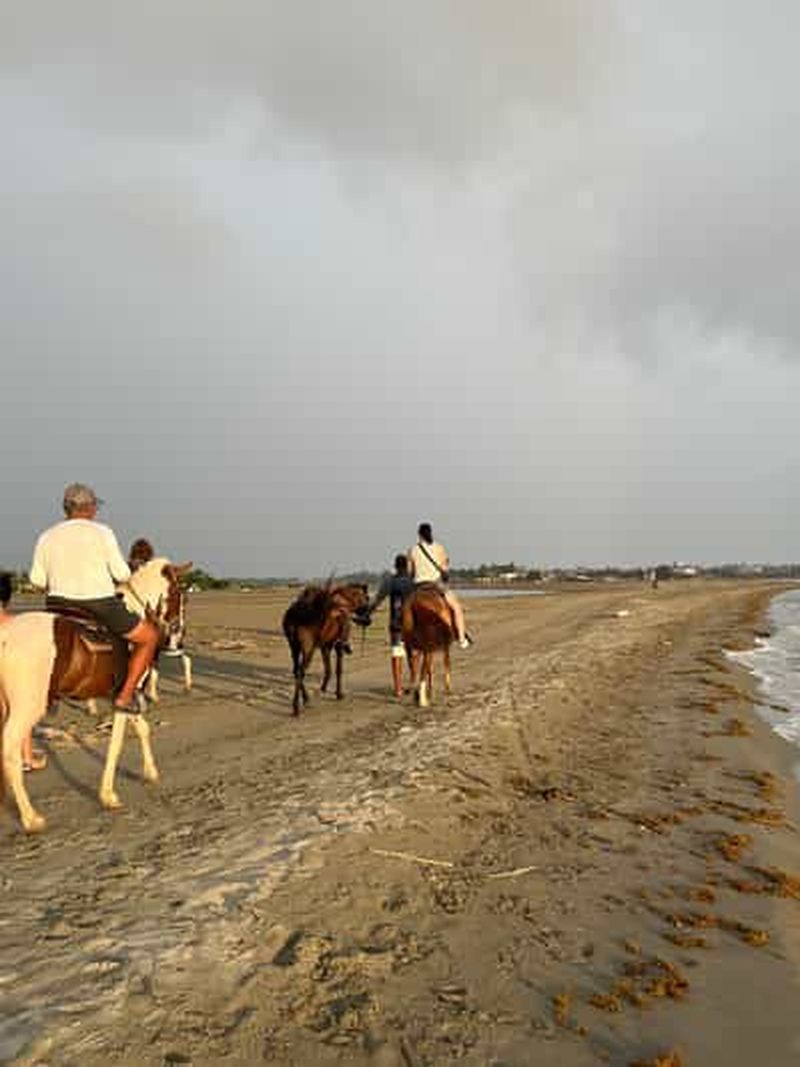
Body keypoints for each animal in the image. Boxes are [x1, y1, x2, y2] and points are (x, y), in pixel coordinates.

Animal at [0, 558, 191, 833]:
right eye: (178, 594)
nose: (178, 634)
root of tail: (5, 636)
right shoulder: (123, 697)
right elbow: (117, 744)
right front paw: (108, 795)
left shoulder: (126, 696)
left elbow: (142, 729)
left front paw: (150, 772)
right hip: (27, 707)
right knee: (10, 751)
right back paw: (30, 817)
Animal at [282, 582, 369, 715]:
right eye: (367, 598)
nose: (368, 620)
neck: (344, 603)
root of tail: (293, 616)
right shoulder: (338, 646)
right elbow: (338, 669)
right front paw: (339, 694)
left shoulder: (325, 646)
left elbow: (328, 669)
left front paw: (324, 688)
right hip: (308, 650)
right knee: (301, 672)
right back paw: (296, 706)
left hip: (294, 648)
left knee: (296, 671)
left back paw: (306, 698)